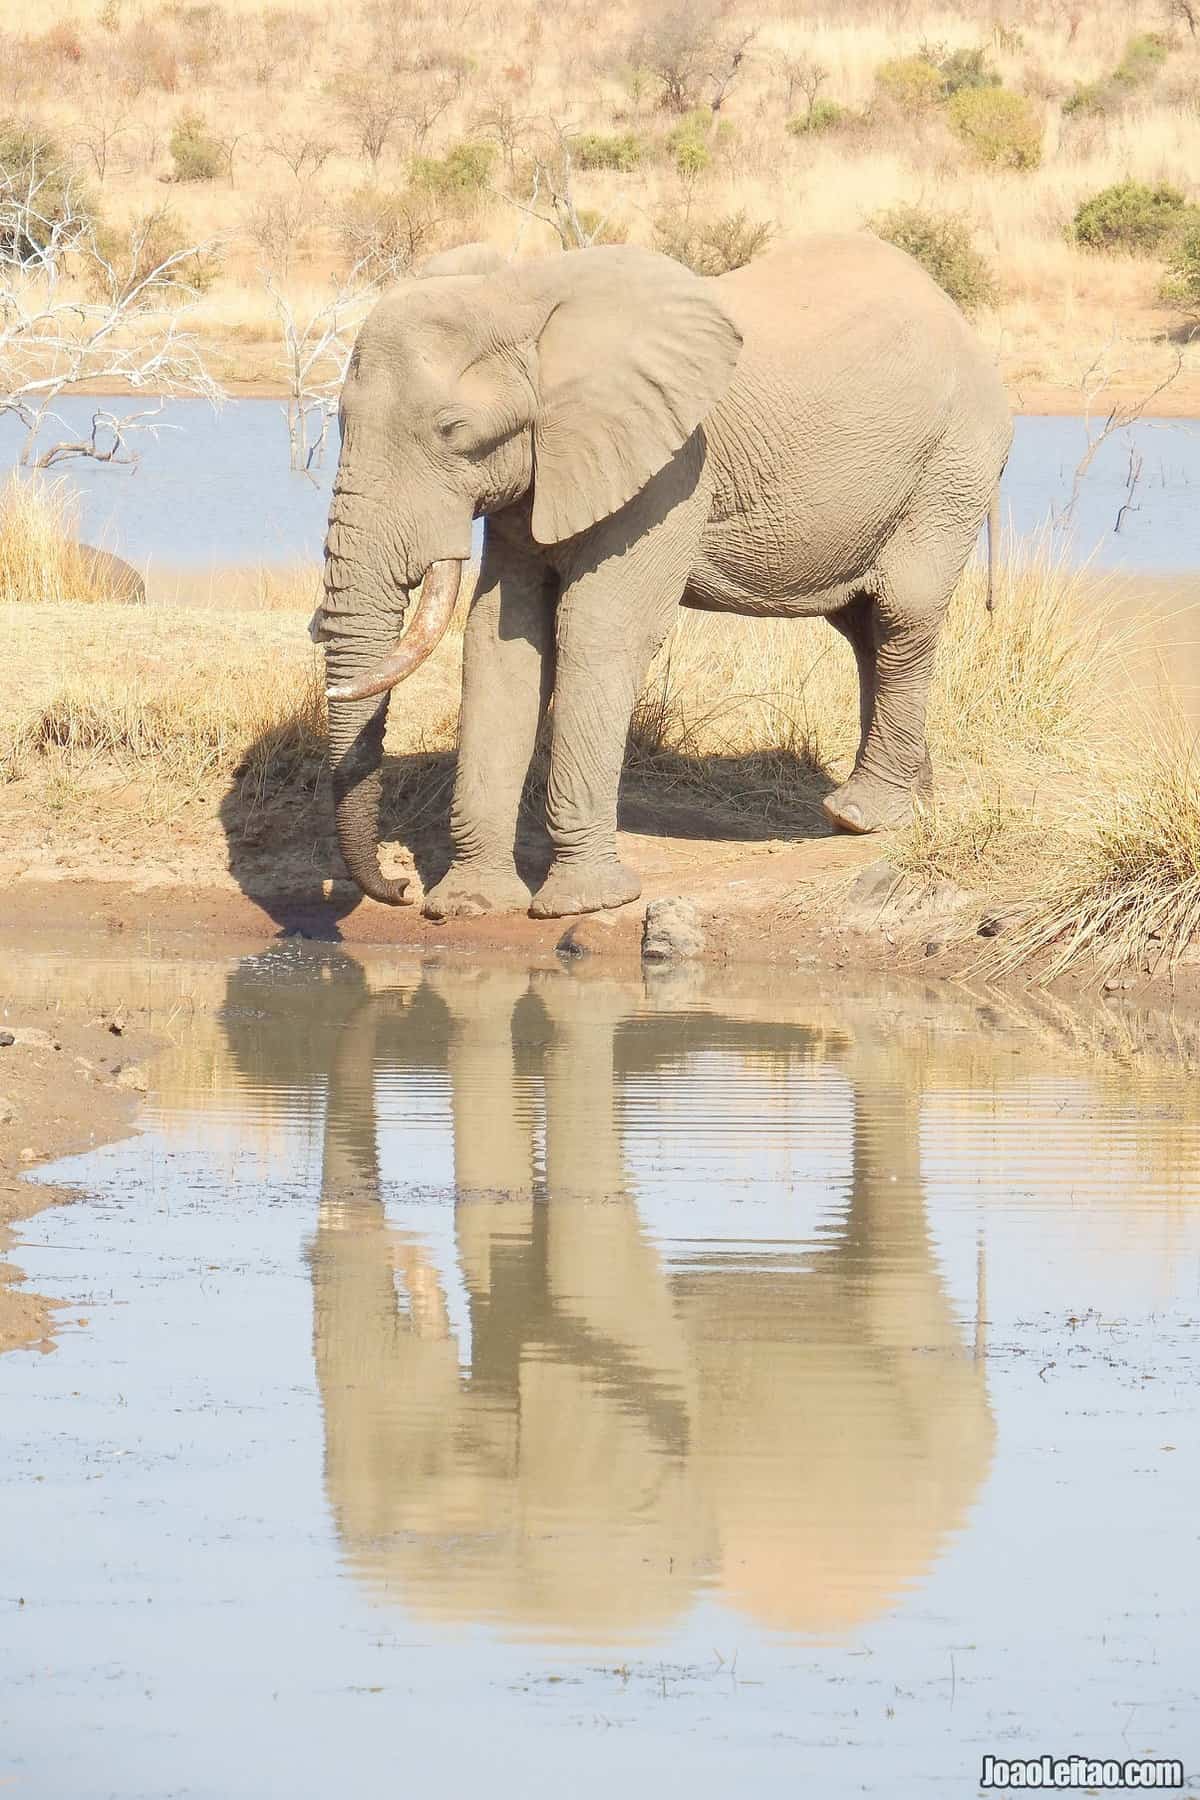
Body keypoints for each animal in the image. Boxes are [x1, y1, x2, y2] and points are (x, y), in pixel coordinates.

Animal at [313, 232, 1014, 921]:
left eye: (452, 431)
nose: (397, 889)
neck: (522, 293)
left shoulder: (672, 464)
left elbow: (597, 630)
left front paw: (581, 904)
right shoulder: (542, 467)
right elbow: (501, 639)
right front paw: (470, 907)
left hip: (953, 462)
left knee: (902, 614)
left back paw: (862, 816)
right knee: (864, 627)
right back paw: (908, 803)